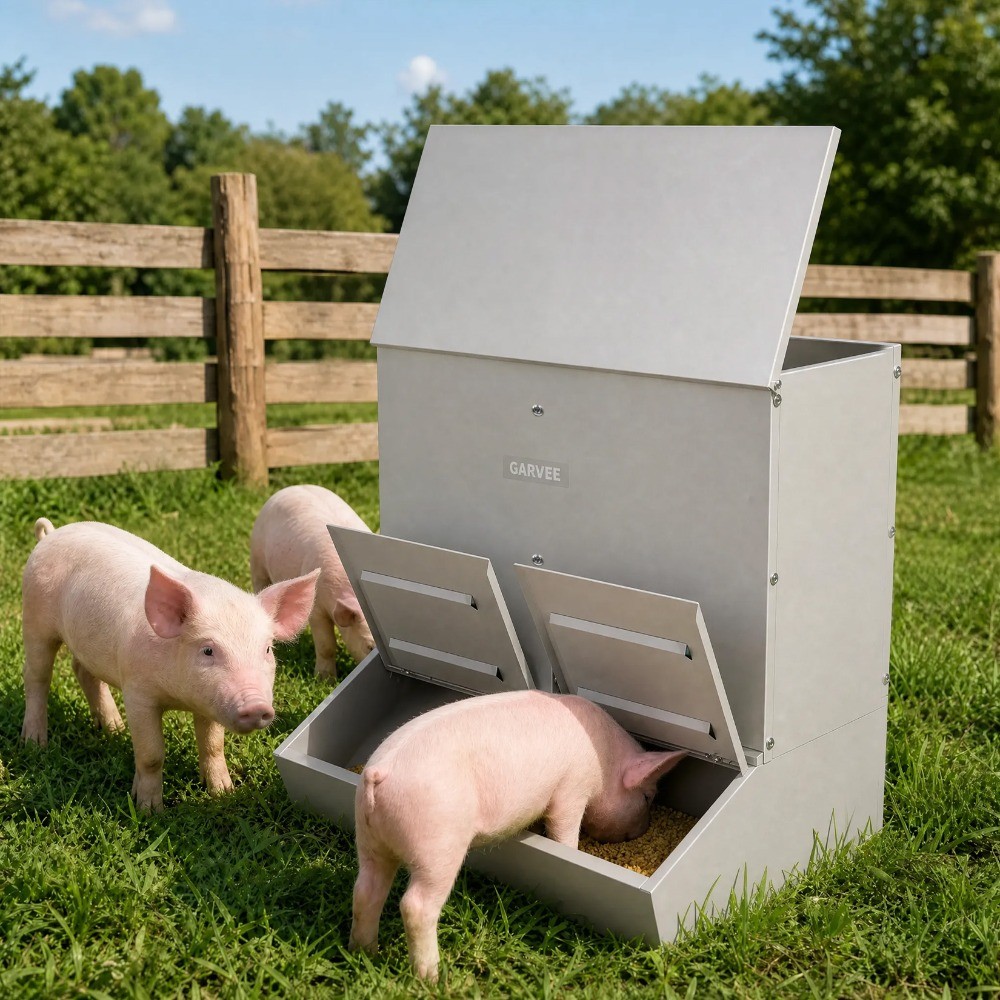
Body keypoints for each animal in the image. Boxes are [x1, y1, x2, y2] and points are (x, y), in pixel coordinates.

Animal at [21, 517, 319, 811]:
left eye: (267, 649)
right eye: (208, 650)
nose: (256, 706)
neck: (180, 698)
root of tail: (52, 534)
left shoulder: (210, 703)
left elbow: (213, 745)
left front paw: (223, 794)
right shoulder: (137, 693)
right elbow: (151, 754)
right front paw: (149, 810)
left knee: (83, 671)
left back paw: (114, 729)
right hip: (35, 619)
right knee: (36, 678)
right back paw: (35, 743)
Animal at [250, 484, 375, 679]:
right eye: (369, 647)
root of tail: (290, 487)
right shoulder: (317, 610)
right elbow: (326, 645)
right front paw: (324, 679)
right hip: (257, 557)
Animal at [349, 689, 686, 980]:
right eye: (647, 797)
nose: (641, 832)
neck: (604, 760)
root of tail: (378, 774)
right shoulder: (572, 787)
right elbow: (563, 826)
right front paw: (571, 850)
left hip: (368, 837)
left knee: (365, 890)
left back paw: (365, 953)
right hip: (436, 843)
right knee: (415, 905)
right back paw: (432, 979)